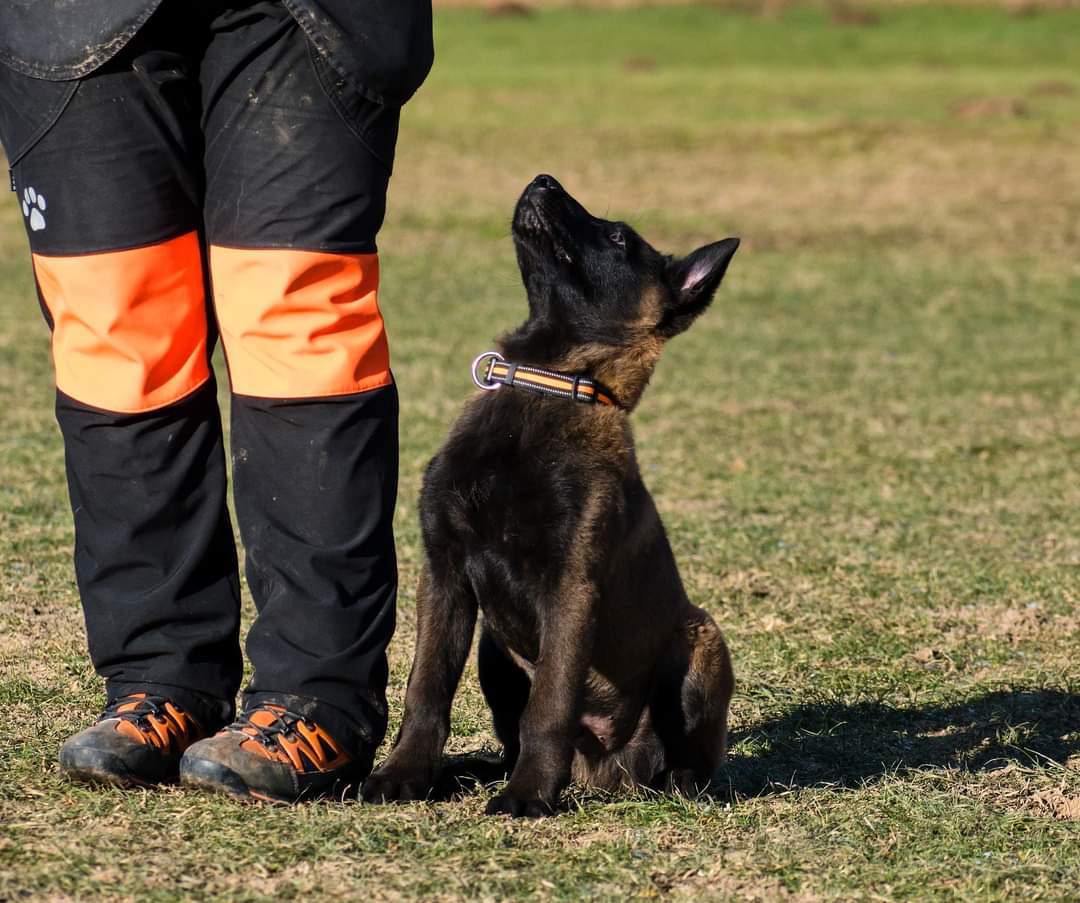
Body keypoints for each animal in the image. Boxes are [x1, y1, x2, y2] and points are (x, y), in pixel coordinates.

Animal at [362, 174, 738, 817]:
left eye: (617, 237)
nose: (543, 179)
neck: (549, 385)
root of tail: (606, 773)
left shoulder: (571, 587)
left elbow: (550, 705)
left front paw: (529, 793)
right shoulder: (444, 574)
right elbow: (426, 689)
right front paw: (405, 774)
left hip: (702, 638)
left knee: (689, 755)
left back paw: (678, 781)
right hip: (494, 647)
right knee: (509, 733)